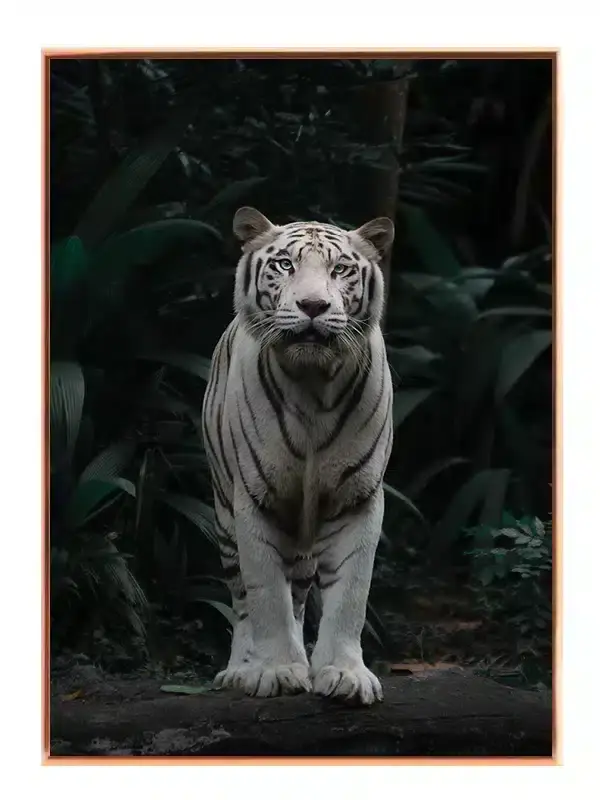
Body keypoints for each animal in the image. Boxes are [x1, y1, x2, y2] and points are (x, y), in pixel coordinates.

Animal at [201, 206, 394, 705]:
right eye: (285, 265)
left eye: (340, 269)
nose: (312, 306)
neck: (313, 385)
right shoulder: (254, 499)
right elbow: (266, 594)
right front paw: (277, 670)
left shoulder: (358, 498)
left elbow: (351, 593)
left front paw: (344, 674)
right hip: (223, 514)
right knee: (242, 601)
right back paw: (241, 669)